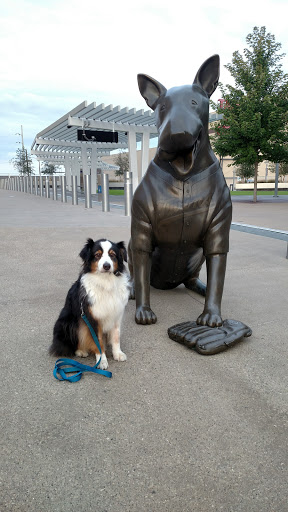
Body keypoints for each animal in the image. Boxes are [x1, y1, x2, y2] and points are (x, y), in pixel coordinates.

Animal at [50, 238, 130, 370]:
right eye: (97, 255)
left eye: (112, 255)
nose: (106, 266)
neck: (106, 282)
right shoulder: (92, 317)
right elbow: (97, 341)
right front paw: (102, 360)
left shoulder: (116, 314)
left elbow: (116, 336)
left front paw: (117, 353)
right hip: (68, 322)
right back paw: (81, 351)